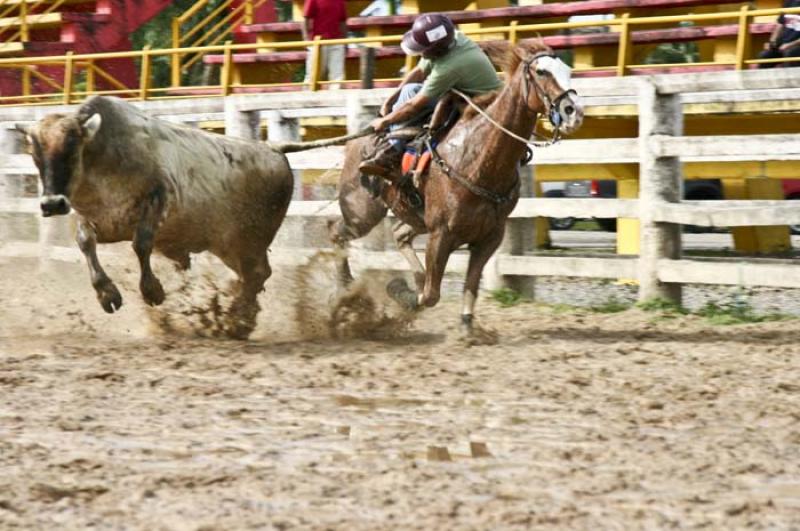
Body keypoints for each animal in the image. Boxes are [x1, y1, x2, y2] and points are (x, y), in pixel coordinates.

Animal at [18, 95, 368, 338]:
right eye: (35, 154)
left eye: (71, 147)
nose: (51, 203)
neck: (105, 158)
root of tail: (273, 148)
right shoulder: (93, 218)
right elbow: (85, 243)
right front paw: (107, 293)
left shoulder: (157, 199)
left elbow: (141, 244)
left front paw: (153, 289)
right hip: (229, 248)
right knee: (254, 277)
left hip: (248, 242)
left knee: (258, 274)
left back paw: (238, 319)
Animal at [328, 39, 584, 334]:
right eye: (541, 72)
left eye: (568, 70)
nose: (574, 112)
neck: (479, 156)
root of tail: (359, 141)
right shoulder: (441, 234)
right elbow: (430, 295)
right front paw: (401, 292)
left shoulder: (489, 237)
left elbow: (469, 285)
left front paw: (468, 329)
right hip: (361, 213)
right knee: (336, 233)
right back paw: (345, 287)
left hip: (412, 216)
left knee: (399, 234)